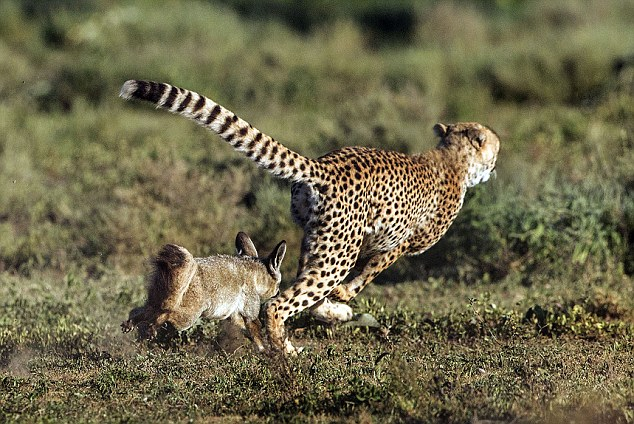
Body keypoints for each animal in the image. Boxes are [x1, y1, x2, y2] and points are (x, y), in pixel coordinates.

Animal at [120, 232, 284, 352]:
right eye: (279, 284)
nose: (279, 292)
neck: (255, 275)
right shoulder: (249, 314)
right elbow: (259, 336)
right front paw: (270, 352)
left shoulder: (234, 316)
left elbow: (250, 332)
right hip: (187, 318)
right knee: (163, 316)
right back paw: (151, 329)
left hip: (157, 303)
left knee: (138, 312)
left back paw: (130, 324)